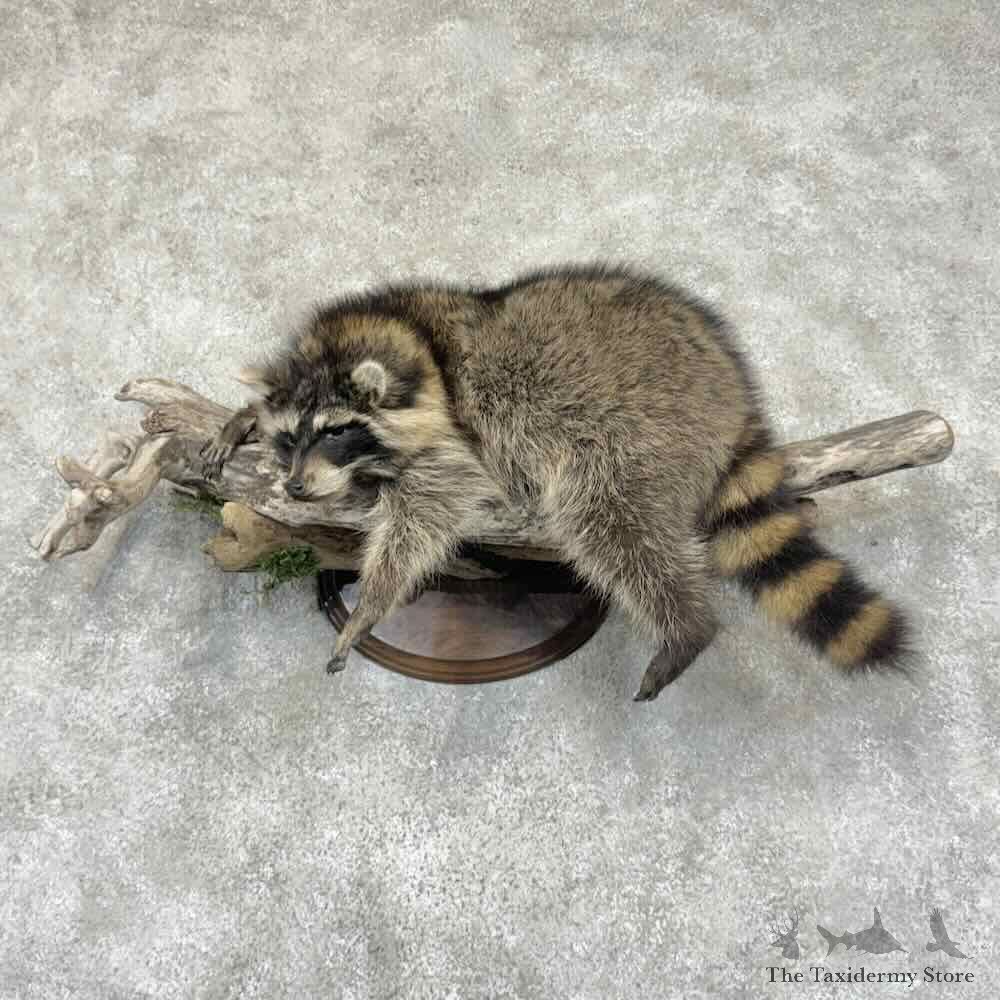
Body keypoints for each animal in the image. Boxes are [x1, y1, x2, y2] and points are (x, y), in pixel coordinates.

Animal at [202, 264, 909, 699]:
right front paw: (241, 418)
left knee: (610, 524)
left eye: (335, 433)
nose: (297, 489)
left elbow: (434, 504)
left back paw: (686, 624)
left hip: (637, 432)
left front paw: (373, 600)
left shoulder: (462, 433)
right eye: (292, 439)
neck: (407, 336)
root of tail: (732, 389)